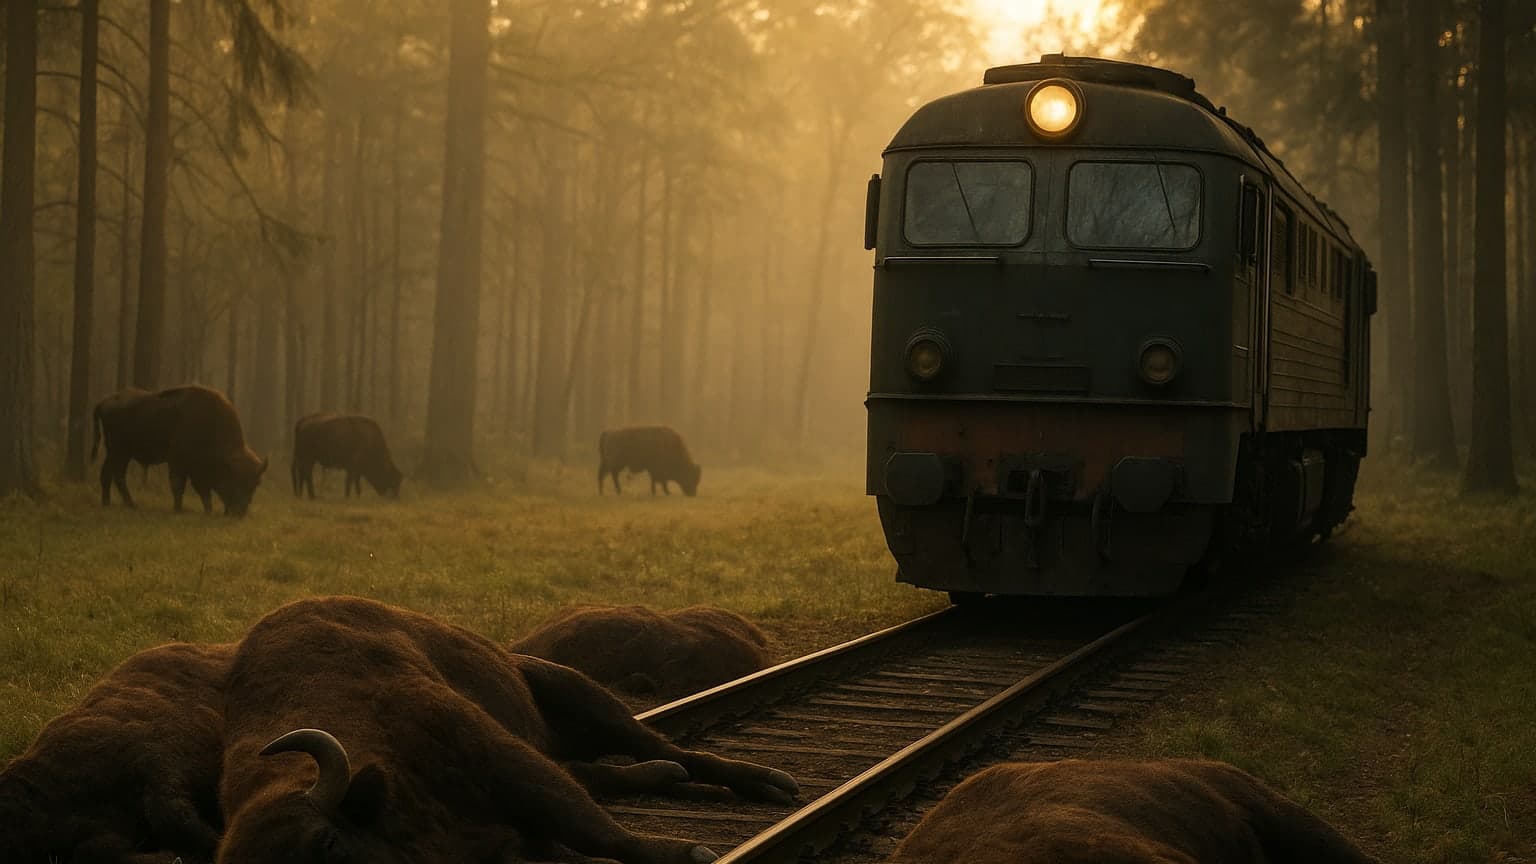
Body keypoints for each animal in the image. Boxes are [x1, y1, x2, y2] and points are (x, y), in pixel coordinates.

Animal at [94, 385, 268, 516]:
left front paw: (208, 511)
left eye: (256, 483)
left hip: (114, 452)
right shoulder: (178, 461)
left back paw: (107, 503)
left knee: (107, 473)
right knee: (118, 475)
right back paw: (130, 504)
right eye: (235, 479)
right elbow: (179, 484)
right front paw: (179, 509)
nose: (238, 513)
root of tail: (104, 401)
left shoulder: (197, 470)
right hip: (120, 451)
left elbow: (203, 490)